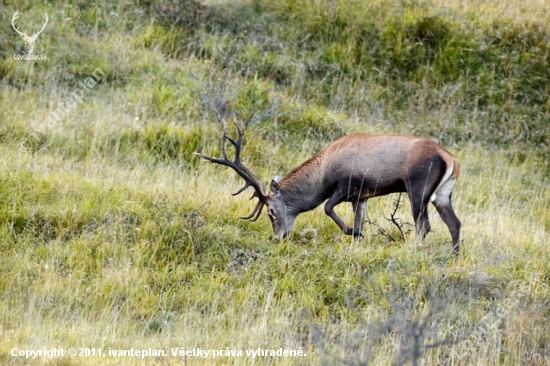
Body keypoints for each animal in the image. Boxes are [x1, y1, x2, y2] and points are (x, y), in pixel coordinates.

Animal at [196, 126, 464, 254]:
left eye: (271, 211)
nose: (279, 237)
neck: (324, 174)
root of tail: (452, 160)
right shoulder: (362, 196)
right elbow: (359, 219)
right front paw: (357, 237)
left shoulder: (348, 185)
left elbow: (326, 207)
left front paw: (353, 232)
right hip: (442, 195)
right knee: (455, 223)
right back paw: (454, 256)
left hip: (417, 188)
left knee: (424, 225)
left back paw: (412, 249)